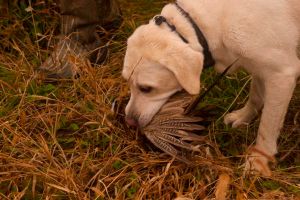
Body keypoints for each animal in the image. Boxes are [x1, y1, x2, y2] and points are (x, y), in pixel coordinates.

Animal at [121, 0, 300, 175]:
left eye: (146, 88)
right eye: (127, 82)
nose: (129, 121)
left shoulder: (281, 74)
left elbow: (266, 127)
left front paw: (260, 158)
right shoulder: (259, 68)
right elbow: (255, 97)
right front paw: (243, 117)